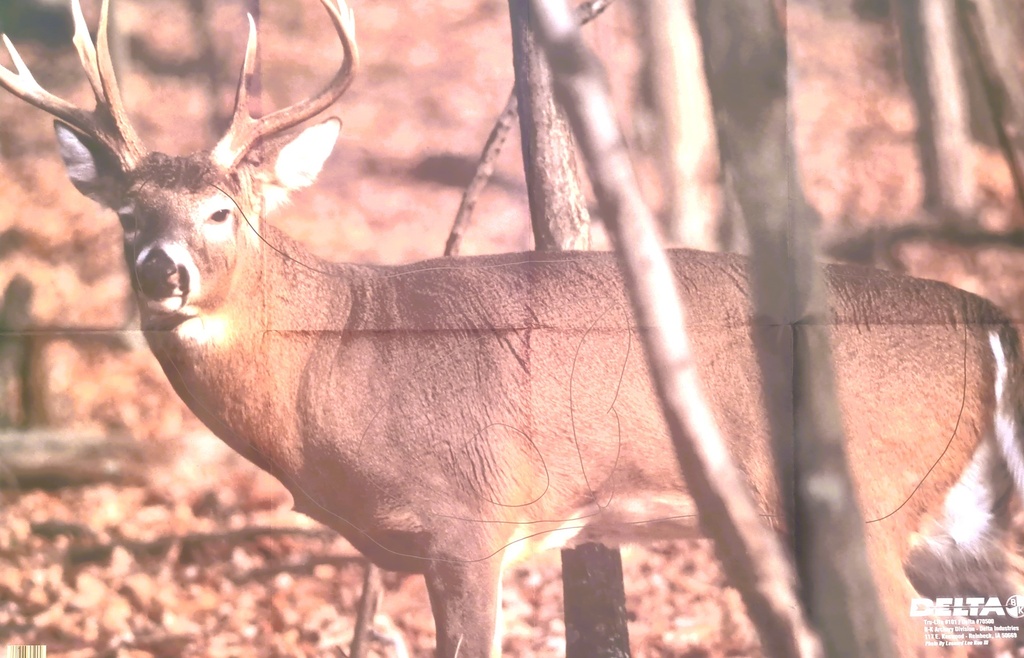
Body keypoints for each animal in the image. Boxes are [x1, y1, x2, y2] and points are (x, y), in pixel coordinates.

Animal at [3, 0, 1024, 655]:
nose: (160, 271)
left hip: (870, 503)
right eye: (127, 215)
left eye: (222, 211)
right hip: (951, 522)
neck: (334, 359)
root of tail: (984, 316)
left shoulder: (471, 519)